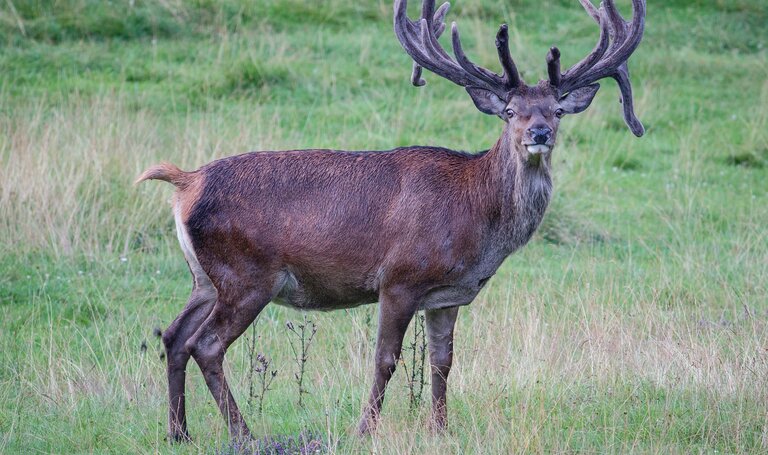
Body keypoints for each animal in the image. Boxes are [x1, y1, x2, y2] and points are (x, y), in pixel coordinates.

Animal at [136, 0, 646, 442]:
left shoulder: (448, 296)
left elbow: (442, 361)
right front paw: (364, 429)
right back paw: (243, 434)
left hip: (206, 277)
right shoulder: (400, 277)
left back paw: (178, 432)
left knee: (174, 335)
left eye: (556, 110)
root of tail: (186, 183)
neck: (475, 219)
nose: (539, 133)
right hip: (246, 274)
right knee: (206, 344)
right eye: (509, 112)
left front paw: (440, 429)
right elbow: (385, 358)